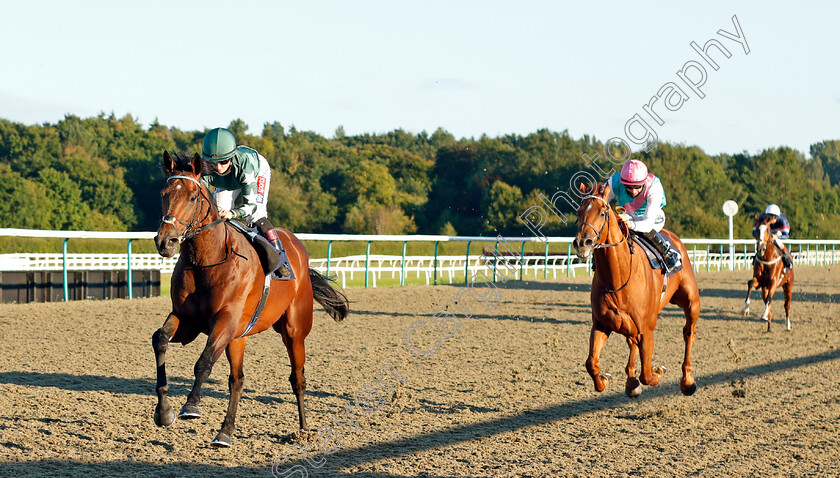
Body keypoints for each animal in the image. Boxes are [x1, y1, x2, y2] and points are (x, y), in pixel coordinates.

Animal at [151, 151, 348, 446]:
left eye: (193, 197)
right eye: (164, 193)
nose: (166, 242)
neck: (206, 261)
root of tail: (297, 247)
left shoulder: (225, 321)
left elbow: (204, 362)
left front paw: (191, 406)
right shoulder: (186, 320)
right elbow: (160, 339)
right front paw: (164, 411)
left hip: (294, 331)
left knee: (297, 379)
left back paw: (303, 430)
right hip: (238, 337)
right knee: (238, 380)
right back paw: (225, 432)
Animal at [572, 181, 704, 398]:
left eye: (603, 212)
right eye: (579, 211)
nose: (583, 243)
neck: (618, 280)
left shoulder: (647, 330)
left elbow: (648, 375)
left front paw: (659, 371)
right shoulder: (601, 324)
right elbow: (591, 363)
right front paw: (605, 380)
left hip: (691, 301)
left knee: (688, 332)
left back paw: (687, 381)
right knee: (631, 342)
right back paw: (631, 381)